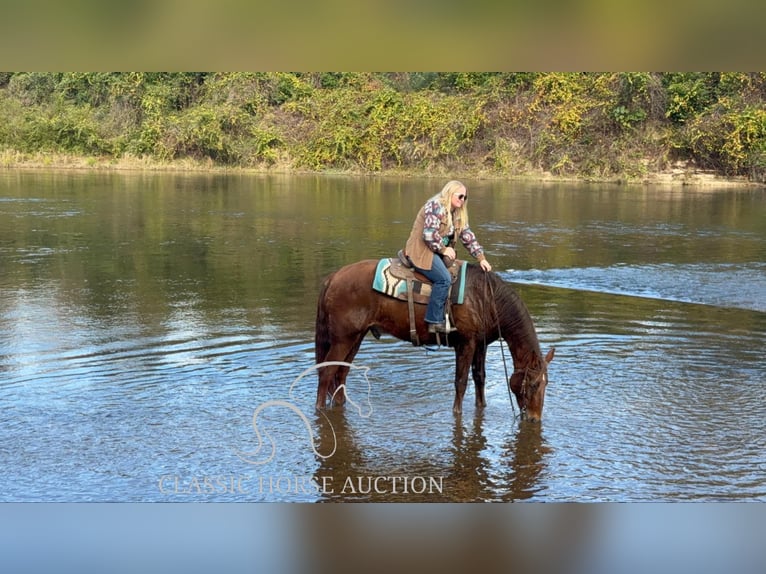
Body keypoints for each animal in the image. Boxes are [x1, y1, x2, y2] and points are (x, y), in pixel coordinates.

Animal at [316, 260, 556, 424]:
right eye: (534, 384)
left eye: (545, 384)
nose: (534, 418)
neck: (486, 298)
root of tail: (333, 277)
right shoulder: (466, 344)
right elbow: (461, 381)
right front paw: (457, 413)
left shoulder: (481, 344)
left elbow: (480, 377)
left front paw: (482, 406)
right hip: (342, 340)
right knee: (327, 372)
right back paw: (319, 408)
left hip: (355, 337)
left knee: (341, 373)